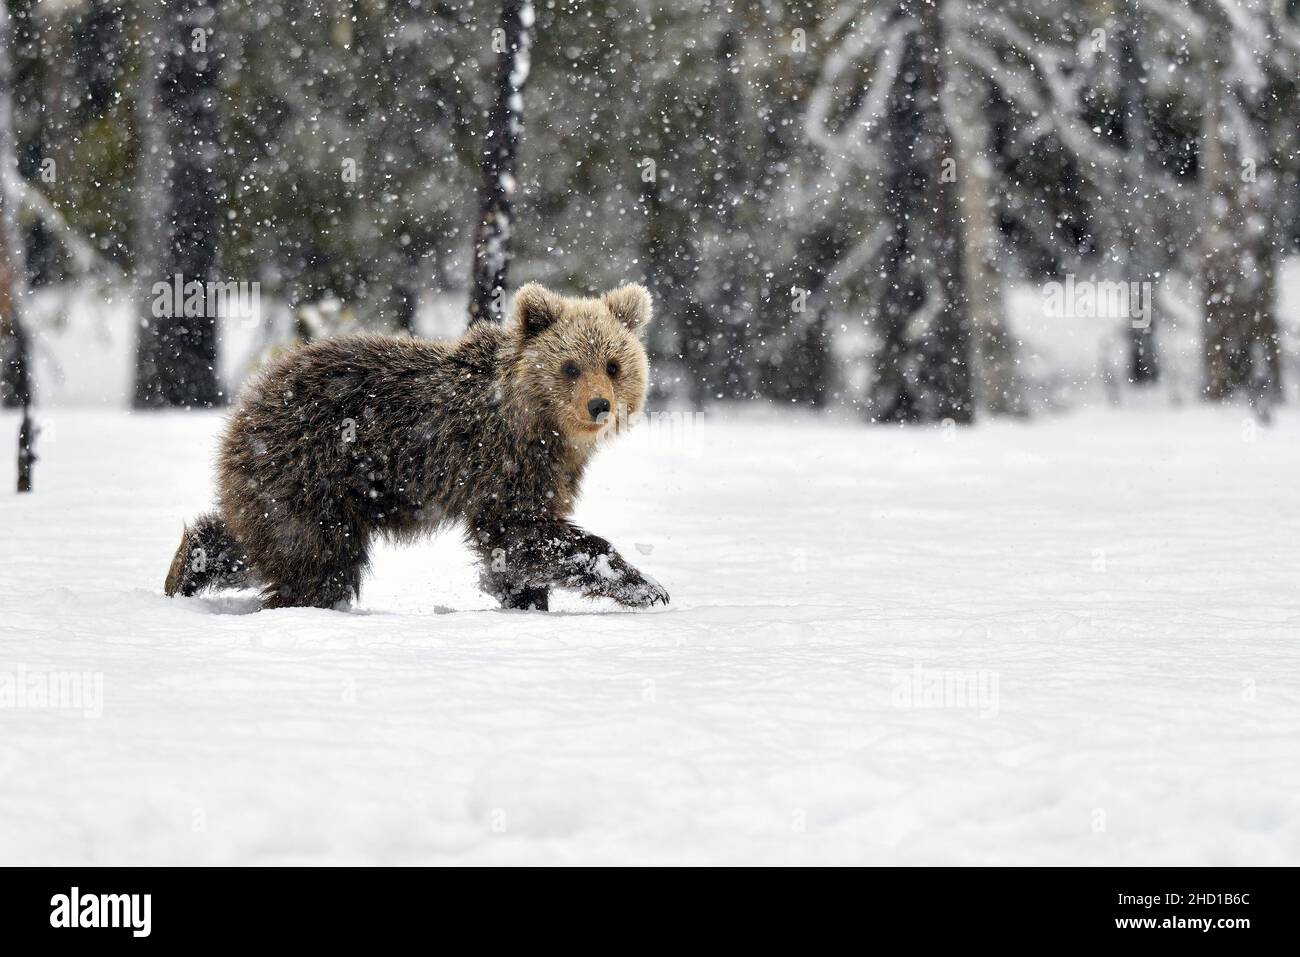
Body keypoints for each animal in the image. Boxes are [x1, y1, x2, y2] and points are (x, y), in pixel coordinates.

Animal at [163, 282, 670, 613]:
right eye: (570, 366)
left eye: (613, 364)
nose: (599, 405)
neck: (541, 425)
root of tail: (251, 394)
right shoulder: (502, 461)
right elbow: (521, 533)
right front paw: (644, 586)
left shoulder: (551, 471)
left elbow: (521, 546)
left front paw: (526, 598)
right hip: (311, 468)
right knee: (316, 556)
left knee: (256, 538)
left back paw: (187, 567)